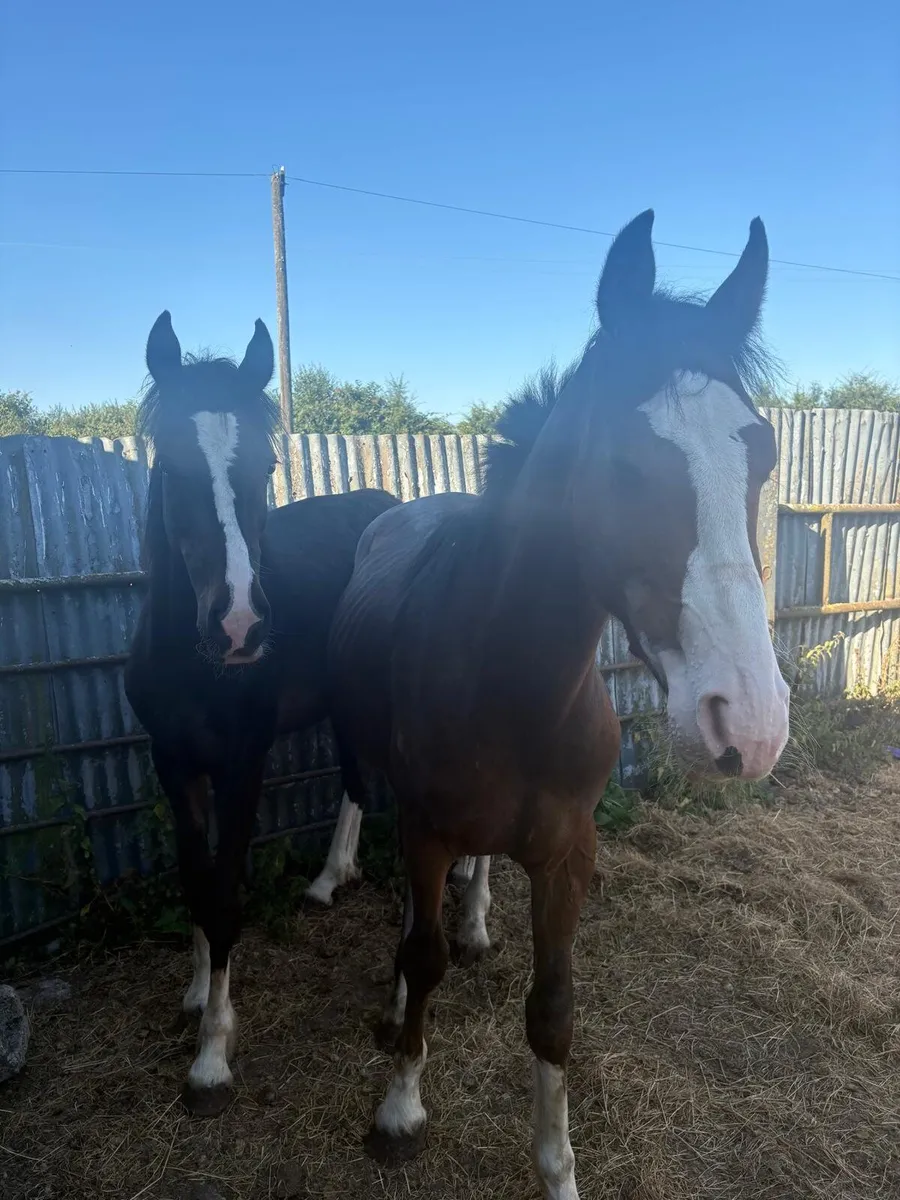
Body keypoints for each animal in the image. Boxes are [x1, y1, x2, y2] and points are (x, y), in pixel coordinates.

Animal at [124, 312, 399, 1116]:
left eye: (269, 467)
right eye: (170, 468)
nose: (239, 625)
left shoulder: (243, 765)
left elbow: (224, 897)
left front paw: (212, 1055)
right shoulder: (173, 762)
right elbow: (194, 880)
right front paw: (193, 994)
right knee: (355, 778)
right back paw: (329, 879)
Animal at [326, 210, 790, 1198]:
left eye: (762, 452)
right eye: (622, 464)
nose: (754, 723)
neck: (511, 683)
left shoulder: (569, 853)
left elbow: (553, 1008)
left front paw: (557, 1168)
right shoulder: (424, 827)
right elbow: (421, 957)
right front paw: (400, 1108)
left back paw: (474, 921)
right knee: (409, 920)